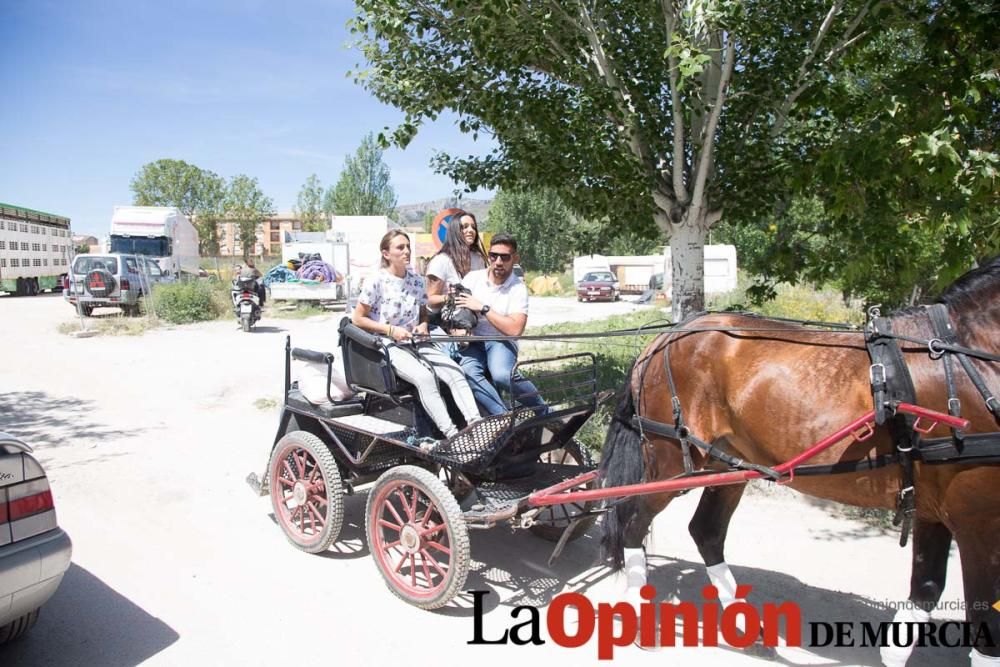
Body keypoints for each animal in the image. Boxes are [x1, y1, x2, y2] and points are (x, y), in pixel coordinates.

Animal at [600, 254, 1000, 664]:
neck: (967, 358)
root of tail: (665, 338)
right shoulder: (978, 520)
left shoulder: (935, 510)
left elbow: (926, 591)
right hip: (671, 463)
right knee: (632, 519)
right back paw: (640, 619)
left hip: (727, 464)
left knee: (705, 531)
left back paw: (744, 628)